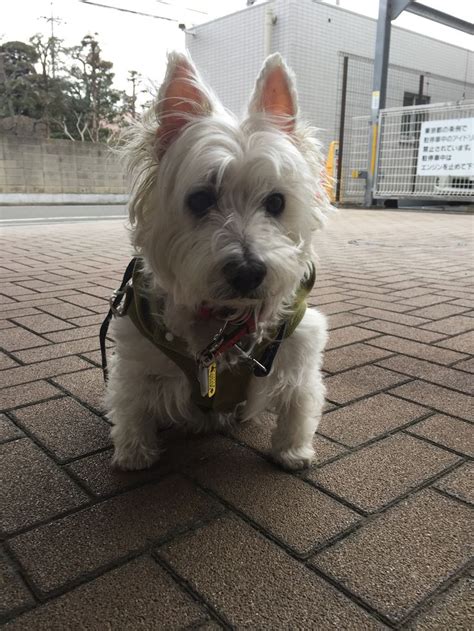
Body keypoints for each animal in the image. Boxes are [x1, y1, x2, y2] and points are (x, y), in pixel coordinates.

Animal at [103, 51, 330, 472]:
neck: (224, 321)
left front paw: (293, 452)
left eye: (277, 202)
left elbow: (298, 405)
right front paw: (134, 453)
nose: (248, 272)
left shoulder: (296, 350)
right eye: (200, 199)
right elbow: (131, 406)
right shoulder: (137, 359)